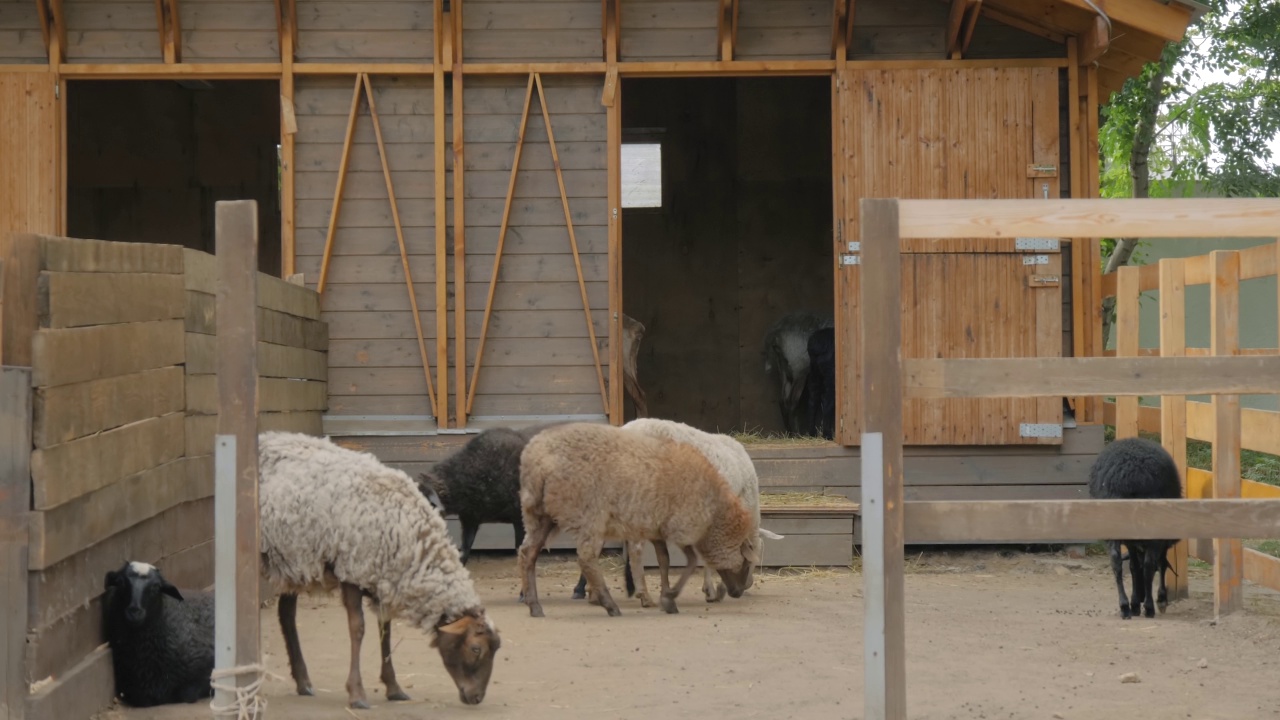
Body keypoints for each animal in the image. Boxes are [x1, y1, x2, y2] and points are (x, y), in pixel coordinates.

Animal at [257, 430, 501, 707]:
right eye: (475, 648)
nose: (477, 698)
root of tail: (266, 436)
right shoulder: (352, 569)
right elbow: (358, 628)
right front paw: (357, 694)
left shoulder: (383, 579)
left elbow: (386, 630)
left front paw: (393, 688)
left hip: (294, 559)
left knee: (286, 613)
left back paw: (303, 682)